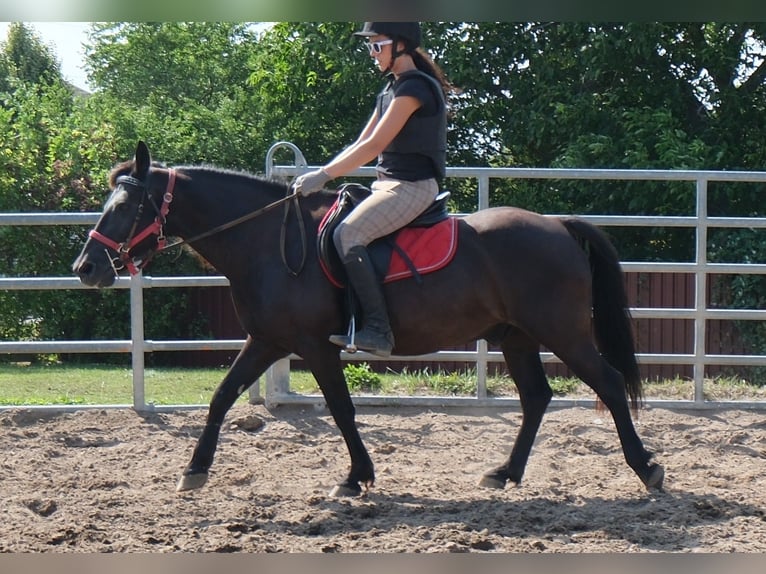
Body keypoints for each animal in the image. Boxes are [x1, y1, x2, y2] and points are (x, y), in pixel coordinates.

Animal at [72, 140, 664, 496]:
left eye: (125, 208)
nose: (86, 268)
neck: (267, 242)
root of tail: (558, 226)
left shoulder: (315, 346)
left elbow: (341, 410)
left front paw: (356, 477)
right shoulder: (267, 340)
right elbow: (221, 397)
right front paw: (194, 470)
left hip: (564, 333)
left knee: (609, 384)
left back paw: (646, 468)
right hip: (516, 337)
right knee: (537, 398)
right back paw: (505, 473)